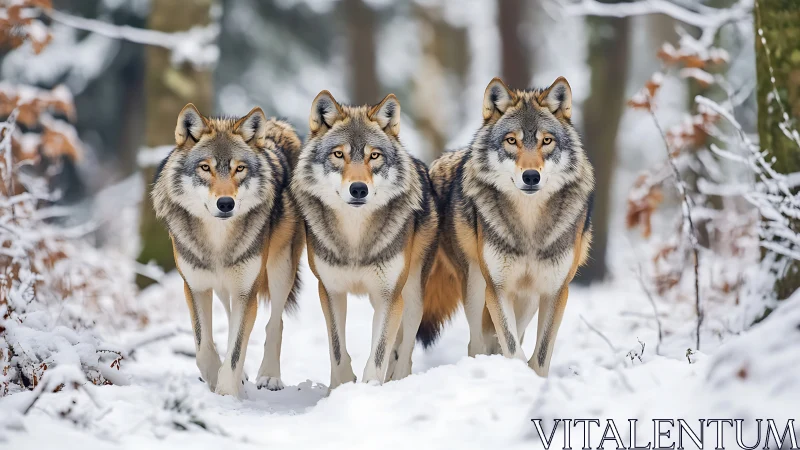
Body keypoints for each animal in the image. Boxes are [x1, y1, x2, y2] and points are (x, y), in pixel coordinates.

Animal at [151, 104, 304, 397]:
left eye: (239, 169)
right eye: (205, 168)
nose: (225, 203)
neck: (217, 240)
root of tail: (275, 127)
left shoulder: (247, 290)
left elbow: (235, 350)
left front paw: (226, 393)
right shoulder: (195, 287)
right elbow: (203, 347)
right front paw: (215, 378)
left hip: (280, 270)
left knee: (274, 322)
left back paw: (270, 376)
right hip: (224, 288)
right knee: (233, 317)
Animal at [291, 91, 438, 388]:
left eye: (374, 156)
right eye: (339, 154)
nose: (358, 189)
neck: (355, 238)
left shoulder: (389, 296)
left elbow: (379, 354)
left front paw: (369, 389)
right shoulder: (330, 291)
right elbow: (337, 349)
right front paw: (341, 387)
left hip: (412, 294)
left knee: (405, 350)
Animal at [425, 77, 594, 376]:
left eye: (546, 141)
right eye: (511, 140)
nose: (531, 176)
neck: (529, 226)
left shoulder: (555, 291)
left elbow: (540, 355)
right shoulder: (497, 288)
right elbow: (512, 347)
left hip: (526, 300)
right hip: (475, 287)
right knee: (477, 342)